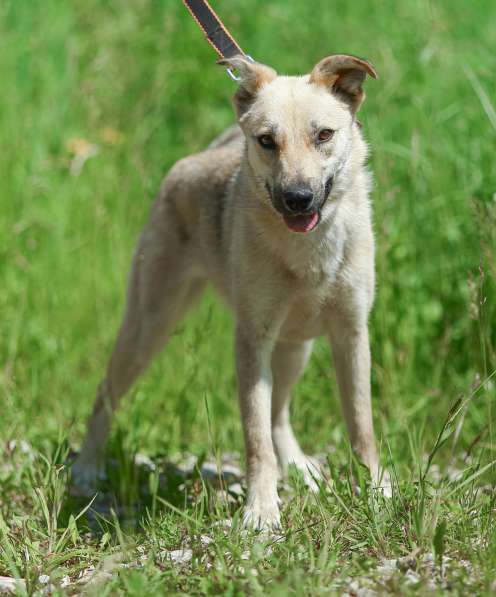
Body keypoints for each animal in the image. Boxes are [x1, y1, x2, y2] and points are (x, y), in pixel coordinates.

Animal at [72, 52, 384, 528]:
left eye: (324, 135)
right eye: (266, 141)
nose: (298, 198)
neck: (307, 252)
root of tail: (194, 160)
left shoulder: (351, 333)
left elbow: (360, 422)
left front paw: (377, 491)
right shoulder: (252, 339)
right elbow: (255, 437)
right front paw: (261, 510)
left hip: (296, 347)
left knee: (279, 414)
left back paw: (299, 468)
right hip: (148, 326)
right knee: (105, 394)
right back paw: (87, 468)